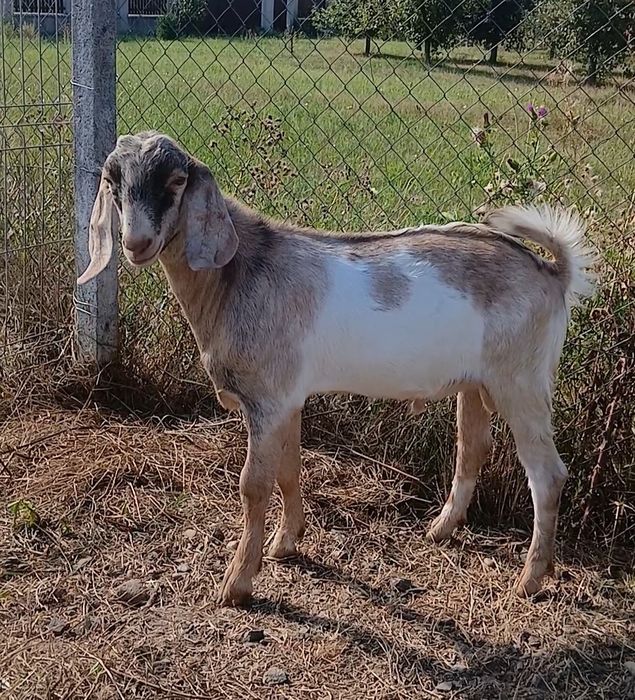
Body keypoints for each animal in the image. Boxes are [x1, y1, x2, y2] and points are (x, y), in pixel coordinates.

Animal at [78, 131, 596, 607]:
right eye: (112, 180)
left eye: (177, 180)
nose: (136, 243)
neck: (238, 274)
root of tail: (553, 273)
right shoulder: (287, 398)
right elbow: (289, 469)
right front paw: (286, 544)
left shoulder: (267, 399)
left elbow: (253, 485)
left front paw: (237, 584)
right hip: (477, 383)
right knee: (472, 449)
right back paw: (441, 530)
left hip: (521, 380)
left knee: (547, 474)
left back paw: (529, 580)